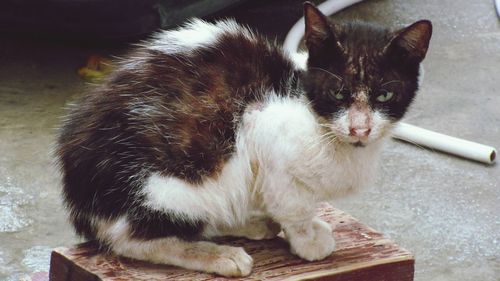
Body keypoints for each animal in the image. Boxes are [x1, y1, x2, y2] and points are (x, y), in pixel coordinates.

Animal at [55, 2, 430, 276]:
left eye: (384, 95)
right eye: (338, 93)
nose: (360, 129)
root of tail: (81, 199)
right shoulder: (263, 124)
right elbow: (294, 205)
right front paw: (306, 239)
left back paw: (249, 223)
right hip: (172, 183)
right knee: (132, 239)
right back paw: (220, 255)